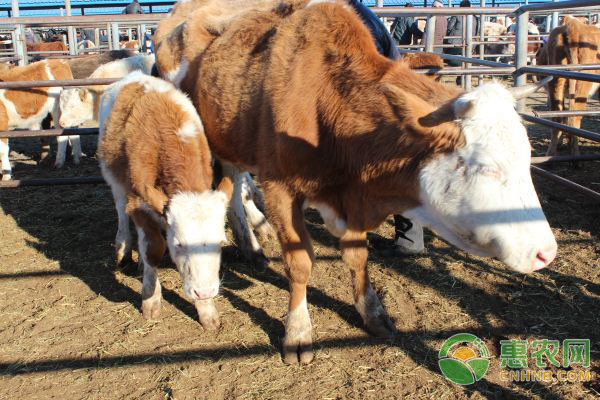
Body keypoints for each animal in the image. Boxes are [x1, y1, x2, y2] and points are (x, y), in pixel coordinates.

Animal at [98, 72, 232, 328]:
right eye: (179, 244)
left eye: (221, 243)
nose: (204, 292)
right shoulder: (138, 203)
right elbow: (153, 249)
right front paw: (150, 300)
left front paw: (206, 311)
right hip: (113, 177)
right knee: (120, 211)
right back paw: (123, 248)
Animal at [536, 16, 596, 155]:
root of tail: (573, 26)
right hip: (581, 85)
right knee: (574, 117)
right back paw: (574, 154)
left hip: (556, 82)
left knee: (558, 117)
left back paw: (552, 153)